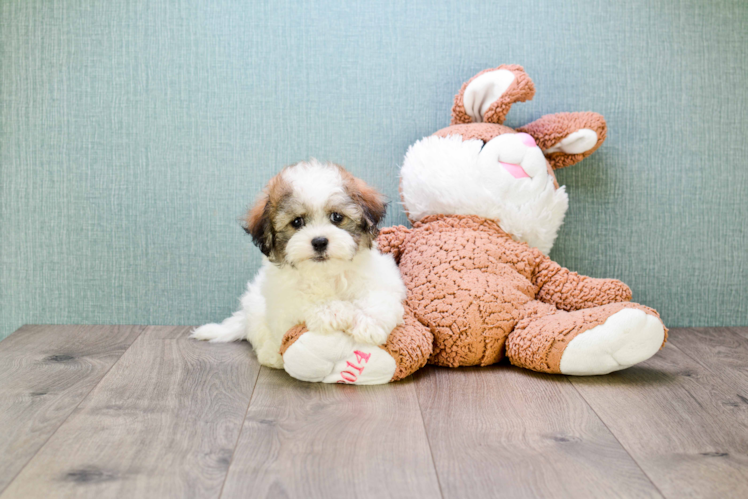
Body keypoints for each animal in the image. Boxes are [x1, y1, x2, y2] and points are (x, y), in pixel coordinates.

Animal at [190, 160, 406, 378]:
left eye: (337, 217)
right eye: (297, 222)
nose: (319, 241)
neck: (326, 273)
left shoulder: (381, 277)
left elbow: (378, 297)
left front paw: (369, 324)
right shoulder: (282, 298)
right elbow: (304, 299)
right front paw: (335, 311)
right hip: (256, 308)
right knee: (261, 334)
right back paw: (272, 354)